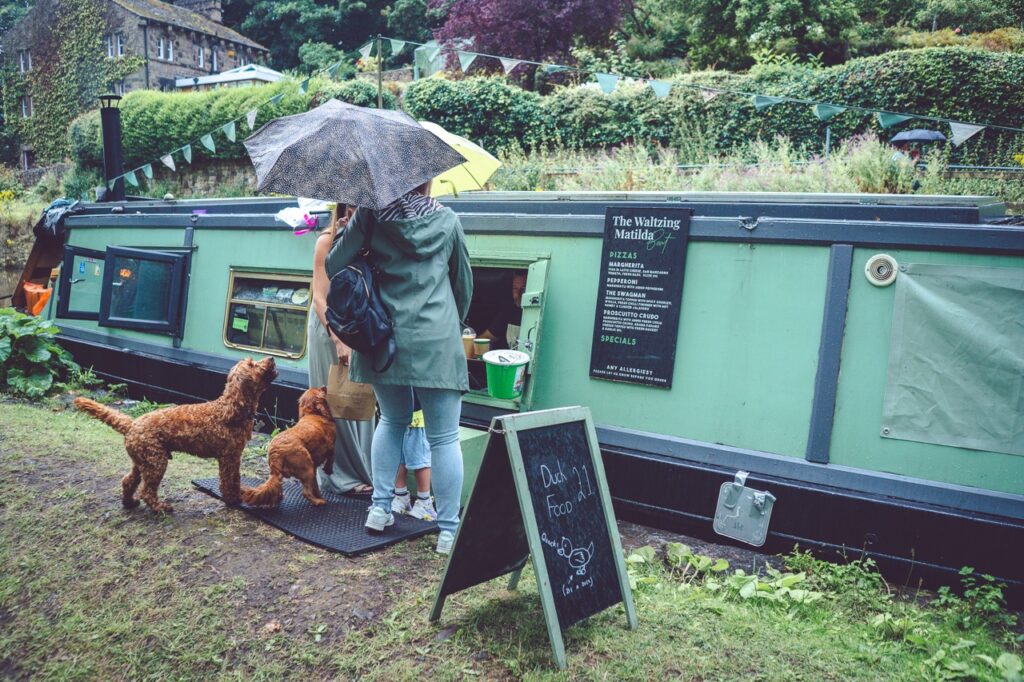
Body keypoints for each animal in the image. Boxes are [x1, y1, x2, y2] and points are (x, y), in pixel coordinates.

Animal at [73, 356, 278, 509]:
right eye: (251, 364)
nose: (272, 358)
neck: (231, 410)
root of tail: (132, 424)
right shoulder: (229, 457)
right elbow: (229, 481)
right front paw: (233, 500)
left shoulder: (234, 457)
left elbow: (235, 479)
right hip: (156, 462)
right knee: (147, 491)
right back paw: (160, 508)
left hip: (142, 461)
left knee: (128, 481)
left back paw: (129, 502)